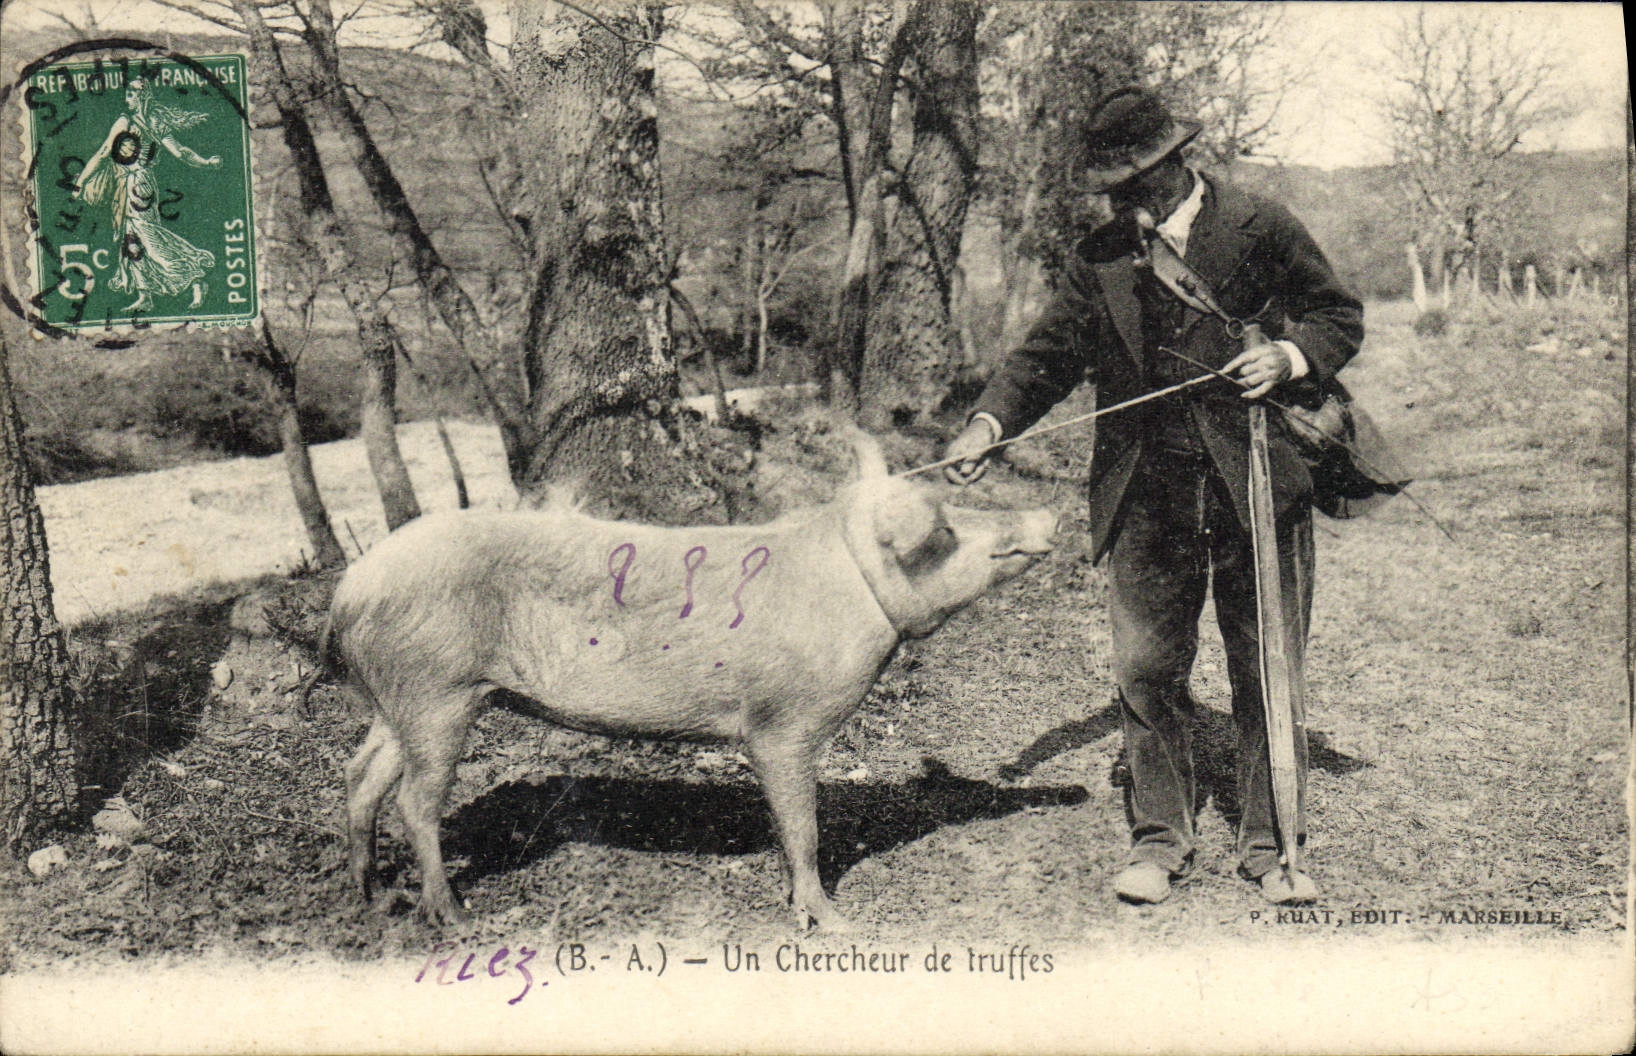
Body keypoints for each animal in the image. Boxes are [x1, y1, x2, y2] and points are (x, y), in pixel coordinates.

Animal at [327, 430, 1055, 930]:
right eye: (947, 527)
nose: (1049, 515)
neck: (850, 587)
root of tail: (350, 586)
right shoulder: (781, 724)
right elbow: (803, 826)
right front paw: (832, 922)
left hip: (400, 702)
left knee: (360, 776)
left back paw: (370, 896)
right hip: (438, 691)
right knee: (414, 801)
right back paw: (454, 915)